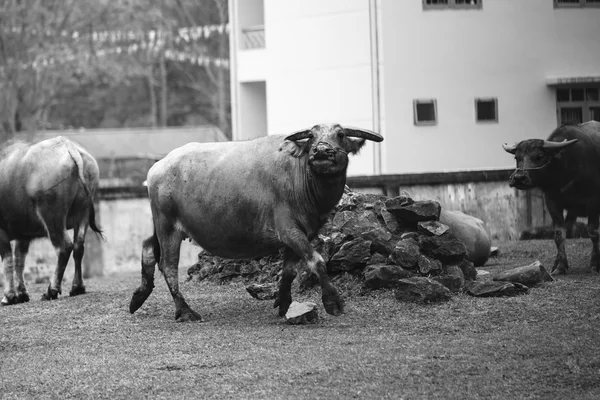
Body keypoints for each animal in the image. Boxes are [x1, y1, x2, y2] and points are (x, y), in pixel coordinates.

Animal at [0, 136, 102, 304]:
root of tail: (68, 145)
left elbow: (8, 261)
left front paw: (9, 296)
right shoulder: (23, 235)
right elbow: (19, 260)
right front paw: (21, 294)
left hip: (52, 216)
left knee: (64, 247)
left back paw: (51, 290)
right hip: (83, 214)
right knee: (78, 246)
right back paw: (77, 287)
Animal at [131, 123, 384, 320]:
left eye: (340, 134)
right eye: (312, 136)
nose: (322, 150)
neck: (301, 178)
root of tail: (158, 167)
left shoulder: (302, 233)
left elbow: (289, 271)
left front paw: (284, 304)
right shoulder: (289, 230)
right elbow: (317, 261)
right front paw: (333, 303)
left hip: (160, 224)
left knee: (148, 246)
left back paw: (139, 296)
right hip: (168, 226)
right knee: (168, 266)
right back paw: (185, 311)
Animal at [502, 119, 600, 276]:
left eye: (539, 156)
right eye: (517, 157)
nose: (518, 178)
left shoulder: (593, 202)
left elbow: (593, 232)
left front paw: (595, 264)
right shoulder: (552, 202)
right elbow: (559, 234)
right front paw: (560, 266)